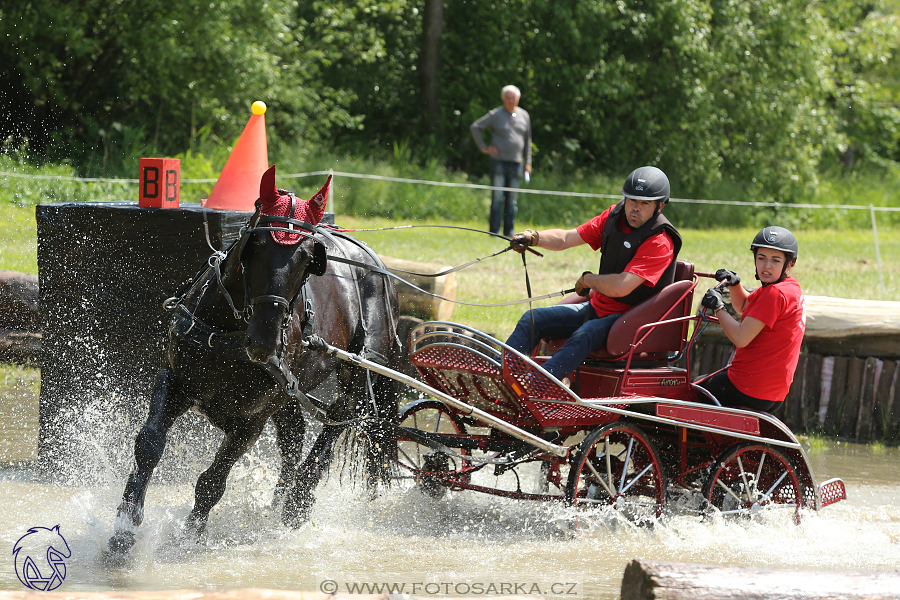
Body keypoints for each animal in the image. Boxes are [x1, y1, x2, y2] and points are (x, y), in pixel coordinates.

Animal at [108, 168, 400, 552]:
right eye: (256, 247)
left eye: (307, 259)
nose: (264, 339)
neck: (228, 332)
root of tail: (380, 269)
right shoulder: (173, 379)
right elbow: (149, 445)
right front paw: (125, 528)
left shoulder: (251, 422)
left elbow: (212, 481)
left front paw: (189, 536)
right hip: (289, 390)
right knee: (293, 438)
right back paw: (278, 500)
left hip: (357, 375)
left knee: (334, 426)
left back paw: (297, 504)